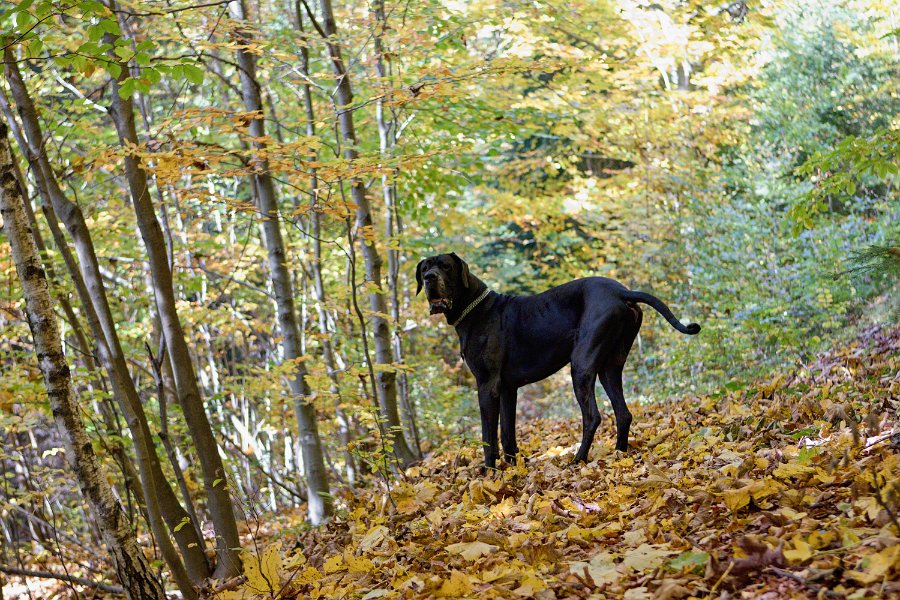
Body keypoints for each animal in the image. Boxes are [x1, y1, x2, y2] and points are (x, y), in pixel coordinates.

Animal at [416, 253, 704, 468]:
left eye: (446, 266)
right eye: (425, 267)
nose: (429, 278)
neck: (473, 308)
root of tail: (623, 292)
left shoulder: (487, 386)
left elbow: (489, 437)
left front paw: (490, 473)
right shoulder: (508, 389)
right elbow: (507, 433)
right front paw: (512, 469)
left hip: (581, 366)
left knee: (593, 417)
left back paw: (578, 460)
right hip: (609, 367)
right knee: (623, 413)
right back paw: (620, 455)